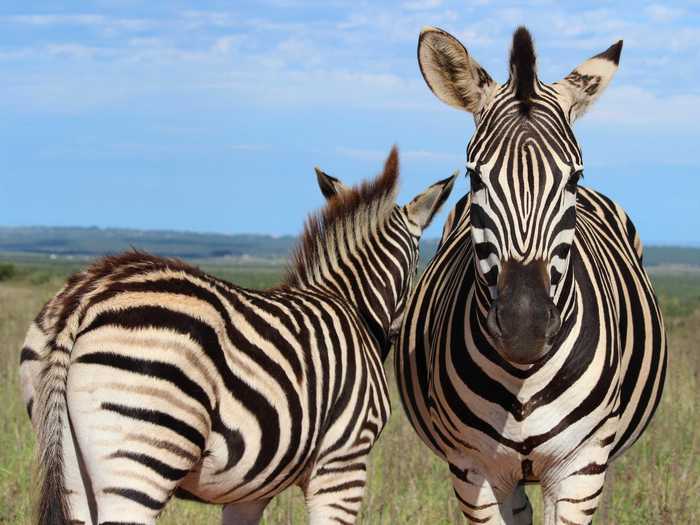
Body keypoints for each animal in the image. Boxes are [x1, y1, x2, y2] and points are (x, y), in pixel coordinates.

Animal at [19, 147, 456, 524]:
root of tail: (86, 296)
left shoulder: (252, 487)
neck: (350, 303)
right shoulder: (343, 462)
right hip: (143, 451)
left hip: (71, 463)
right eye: (419, 263)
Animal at [394, 26, 668, 520]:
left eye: (574, 179)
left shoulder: (582, 468)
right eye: (475, 178)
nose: (525, 328)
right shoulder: (474, 470)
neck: (524, 382)